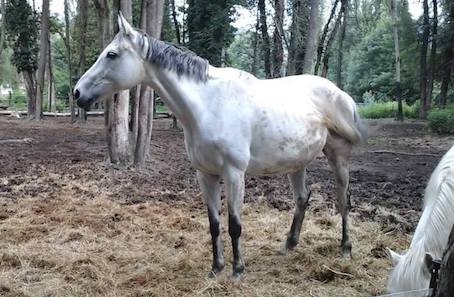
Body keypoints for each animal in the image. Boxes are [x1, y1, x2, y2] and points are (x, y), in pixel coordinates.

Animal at [74, 13, 366, 278]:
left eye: (111, 54)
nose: (78, 93)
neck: (209, 105)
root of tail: (341, 94)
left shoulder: (234, 174)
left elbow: (234, 223)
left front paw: (237, 270)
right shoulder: (205, 175)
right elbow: (214, 224)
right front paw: (216, 268)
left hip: (338, 155)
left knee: (343, 200)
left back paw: (345, 248)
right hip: (297, 162)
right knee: (302, 198)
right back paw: (289, 245)